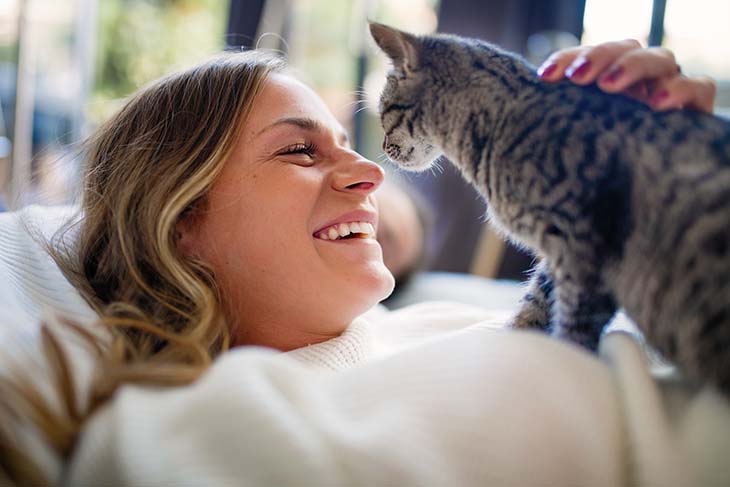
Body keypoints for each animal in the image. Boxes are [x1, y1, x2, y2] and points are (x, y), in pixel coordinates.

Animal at [370, 22, 728, 394]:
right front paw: (515, 337)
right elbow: (535, 304)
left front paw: (566, 359)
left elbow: (573, 326)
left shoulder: (583, 251)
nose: (382, 146)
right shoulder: (559, 257)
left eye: (383, 114)